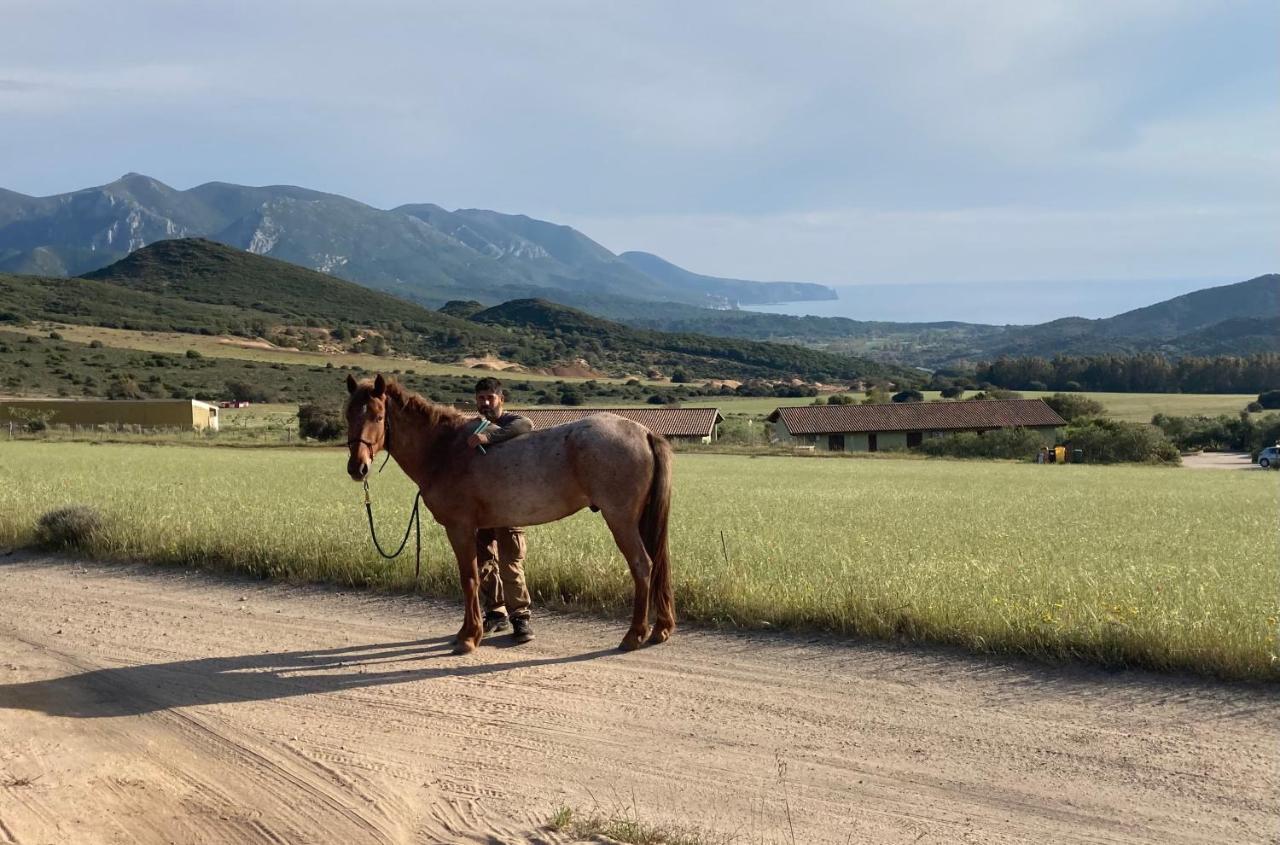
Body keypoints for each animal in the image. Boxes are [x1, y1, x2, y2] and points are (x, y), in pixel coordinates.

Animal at [345, 373, 675, 655]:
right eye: (348, 415)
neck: (445, 449)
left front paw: (468, 637)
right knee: (658, 564)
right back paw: (661, 629)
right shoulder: (478, 530)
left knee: (643, 566)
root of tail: (644, 432)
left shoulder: (459, 528)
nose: (357, 468)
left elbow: (469, 579)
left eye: (378, 416)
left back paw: (634, 635)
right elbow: (483, 575)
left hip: (621, 520)